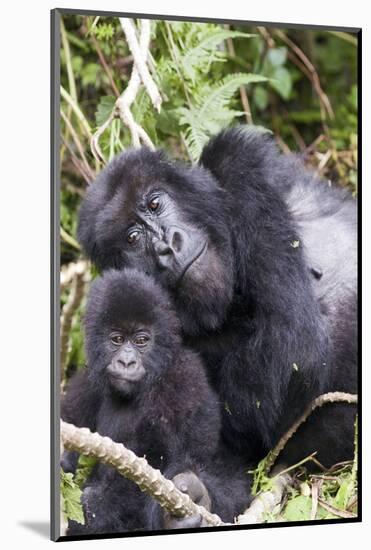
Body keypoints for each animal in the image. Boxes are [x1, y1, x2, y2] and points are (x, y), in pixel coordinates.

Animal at [61, 270, 253, 536]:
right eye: (117, 339)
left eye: (141, 340)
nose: (127, 362)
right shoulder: (91, 376)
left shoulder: (181, 380)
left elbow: (156, 462)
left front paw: (94, 507)